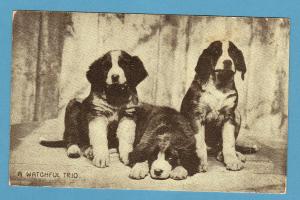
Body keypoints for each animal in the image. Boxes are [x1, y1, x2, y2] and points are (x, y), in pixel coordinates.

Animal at [180, 41, 258, 172]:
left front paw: (232, 160)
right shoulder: (196, 116)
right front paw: (199, 162)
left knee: (222, 146)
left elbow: (229, 142)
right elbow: (200, 142)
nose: (228, 62)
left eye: (232, 52)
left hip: (237, 115)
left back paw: (234, 155)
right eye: (216, 52)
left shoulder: (229, 116)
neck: (220, 85)